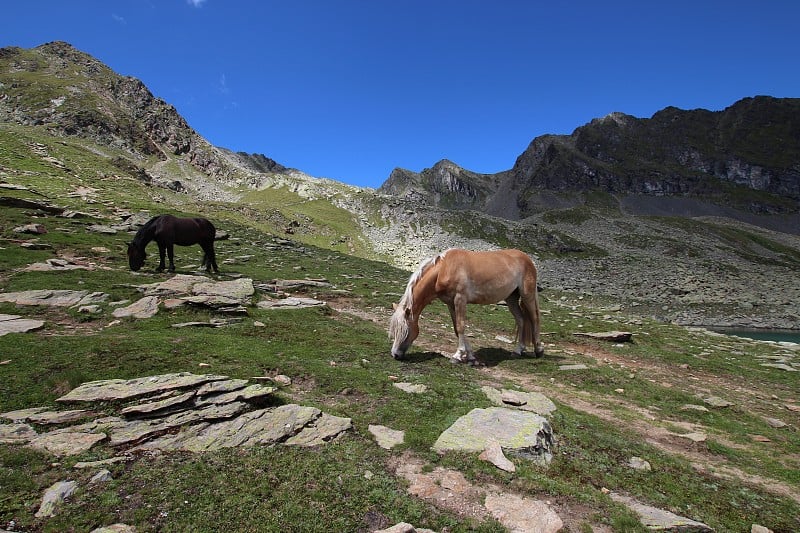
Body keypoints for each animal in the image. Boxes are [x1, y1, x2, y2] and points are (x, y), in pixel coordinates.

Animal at [388, 247, 544, 364]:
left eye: (405, 330)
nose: (395, 354)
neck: (444, 269)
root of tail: (527, 258)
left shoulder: (460, 300)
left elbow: (461, 326)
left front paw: (457, 356)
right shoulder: (450, 303)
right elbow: (457, 328)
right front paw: (470, 356)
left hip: (528, 295)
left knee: (534, 319)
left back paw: (538, 350)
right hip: (511, 298)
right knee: (521, 320)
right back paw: (518, 350)